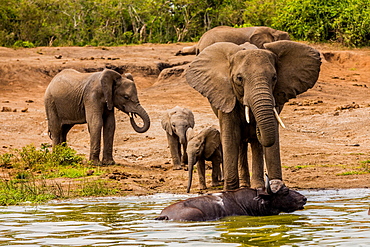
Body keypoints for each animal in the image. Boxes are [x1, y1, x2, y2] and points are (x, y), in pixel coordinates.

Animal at [185, 40, 320, 191]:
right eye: (239, 78)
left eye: (274, 78)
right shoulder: (226, 96)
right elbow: (231, 137)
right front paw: (230, 192)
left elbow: (270, 140)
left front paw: (276, 188)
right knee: (241, 142)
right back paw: (245, 186)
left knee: (255, 143)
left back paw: (256, 186)